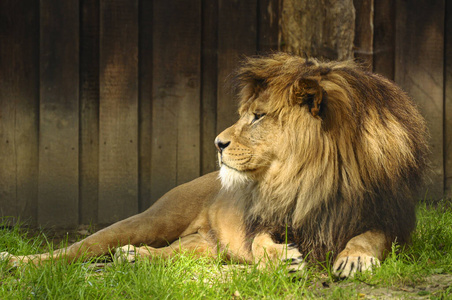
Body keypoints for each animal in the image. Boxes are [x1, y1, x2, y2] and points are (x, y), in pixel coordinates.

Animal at [1, 52, 430, 278]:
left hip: (202, 247)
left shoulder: (389, 217)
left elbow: (371, 236)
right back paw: (17, 261)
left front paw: (355, 257)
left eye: (258, 116)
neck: (310, 178)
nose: (218, 143)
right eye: (246, 113)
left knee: (174, 252)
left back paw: (134, 257)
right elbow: (259, 242)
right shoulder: (266, 218)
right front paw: (282, 257)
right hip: (150, 219)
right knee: (76, 249)